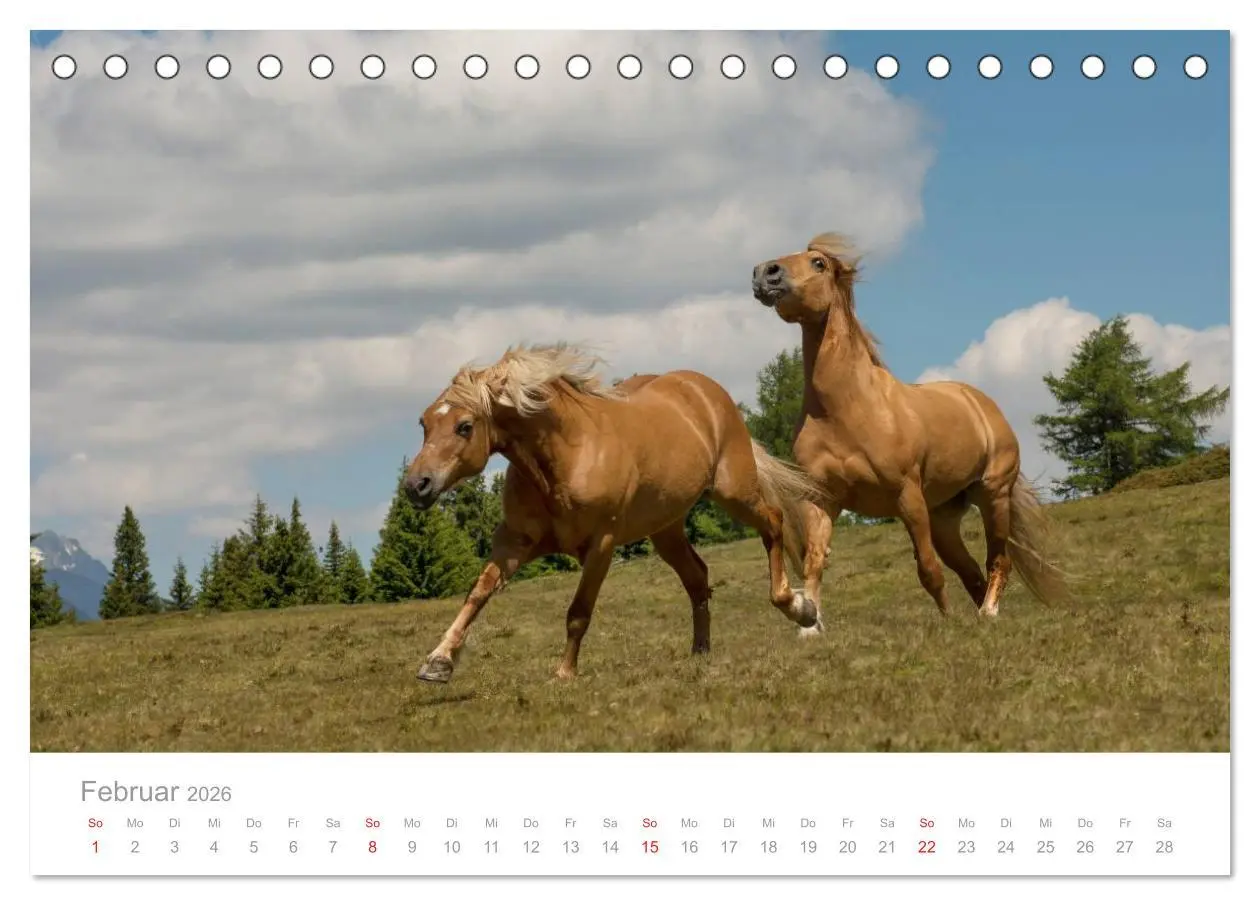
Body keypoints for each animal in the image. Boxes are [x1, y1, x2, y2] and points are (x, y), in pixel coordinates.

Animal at [402, 342, 827, 683]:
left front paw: (564, 673)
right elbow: (477, 593)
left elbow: (578, 612)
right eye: (424, 422)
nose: (415, 485)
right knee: (697, 577)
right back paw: (700, 651)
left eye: (464, 426)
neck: (567, 456)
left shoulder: (601, 545)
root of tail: (706, 391)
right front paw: (437, 662)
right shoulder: (514, 542)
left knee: (773, 523)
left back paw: (800, 609)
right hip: (666, 528)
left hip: (734, 491)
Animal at [750, 233, 1069, 626]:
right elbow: (814, 563)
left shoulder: (907, 496)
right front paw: (806, 620)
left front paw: (948, 622)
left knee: (997, 560)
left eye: (818, 263)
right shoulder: (821, 500)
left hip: (993, 495)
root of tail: (982, 403)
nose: (765, 272)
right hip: (944, 517)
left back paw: (989, 612)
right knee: (970, 571)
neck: (845, 410)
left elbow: (928, 570)